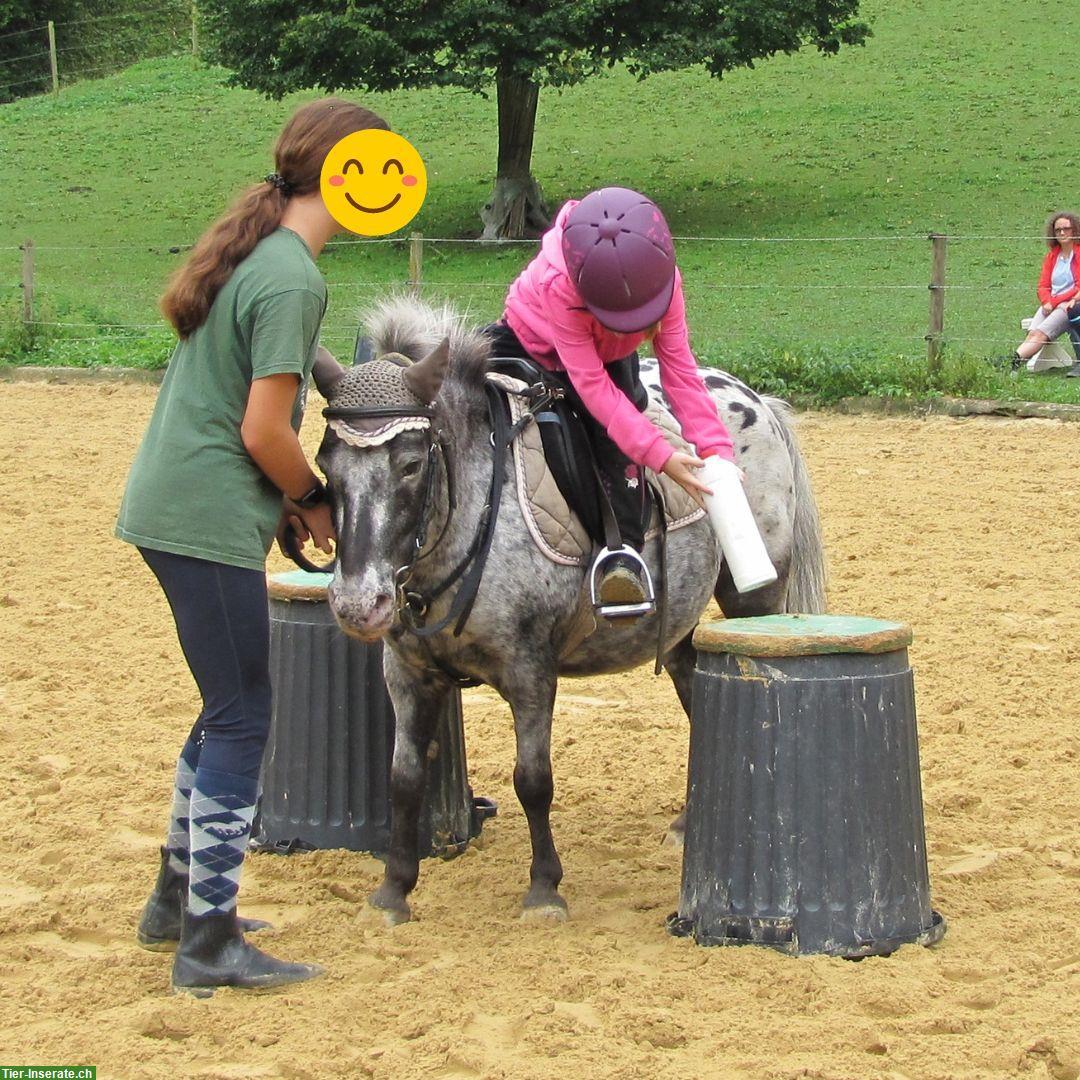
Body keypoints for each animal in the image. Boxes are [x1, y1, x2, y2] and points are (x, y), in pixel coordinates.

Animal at [313, 300, 825, 924]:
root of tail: (757, 401)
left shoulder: (530, 670)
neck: (473, 514)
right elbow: (405, 779)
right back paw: (685, 823)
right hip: (681, 623)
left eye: (411, 464)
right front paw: (393, 891)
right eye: (326, 464)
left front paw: (543, 889)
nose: (359, 604)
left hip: (753, 601)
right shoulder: (407, 673)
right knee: (693, 690)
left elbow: (532, 780)